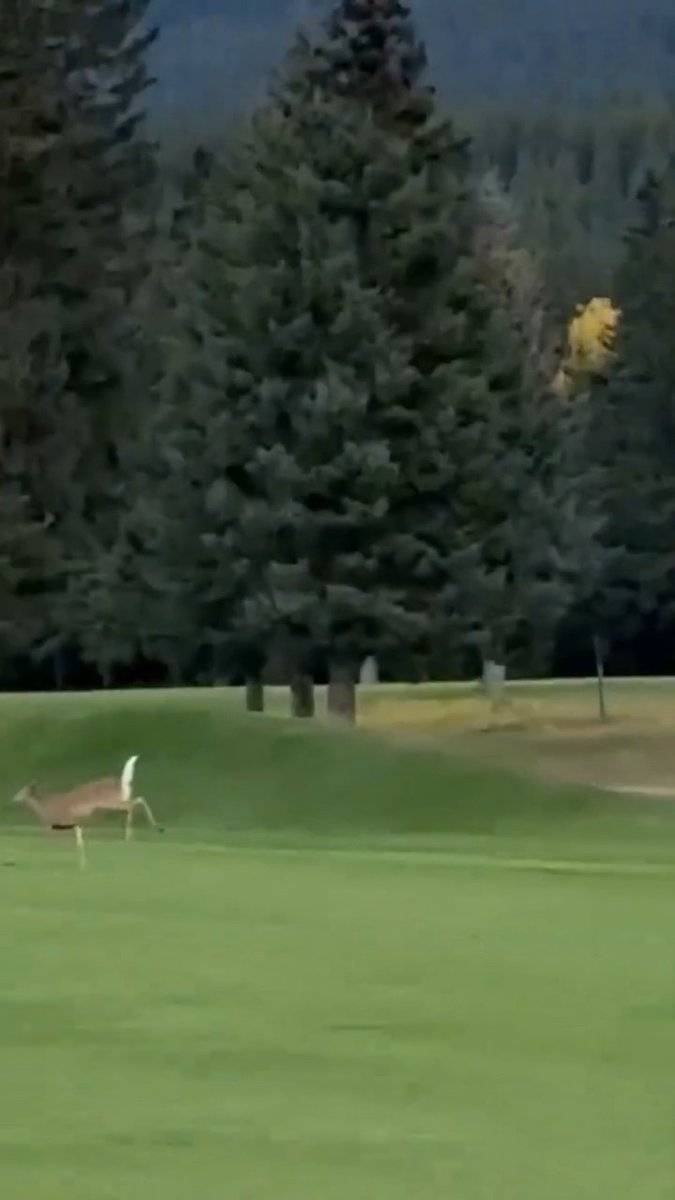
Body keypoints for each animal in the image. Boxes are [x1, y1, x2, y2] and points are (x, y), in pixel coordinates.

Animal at [11, 755, 163, 868]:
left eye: (21, 791)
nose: (13, 798)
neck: (45, 809)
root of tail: (121, 783)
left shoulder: (61, 822)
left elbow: (54, 840)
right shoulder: (75, 823)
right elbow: (79, 842)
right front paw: (83, 864)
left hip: (112, 802)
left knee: (132, 804)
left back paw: (134, 834)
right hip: (118, 801)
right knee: (136, 801)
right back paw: (146, 830)